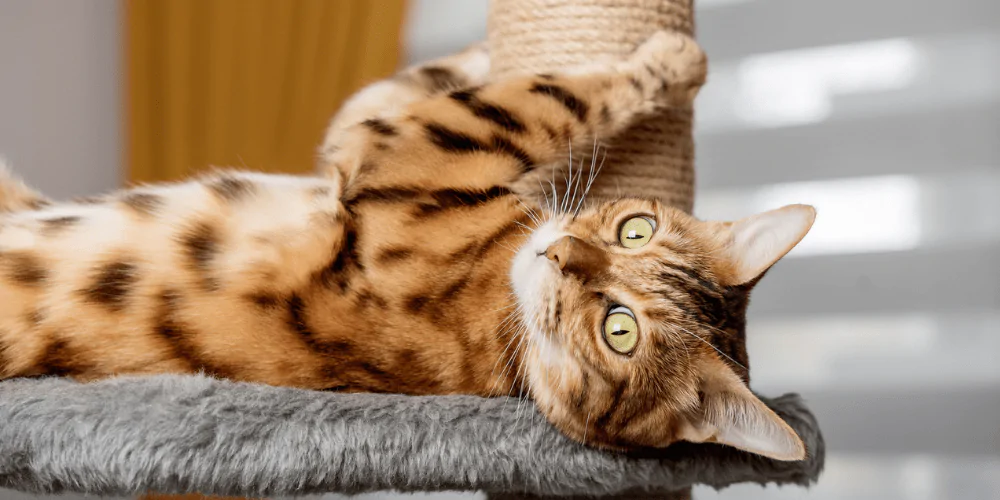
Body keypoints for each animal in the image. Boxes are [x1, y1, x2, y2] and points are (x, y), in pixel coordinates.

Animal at [0, 32, 812, 460]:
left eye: (621, 330)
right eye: (632, 229)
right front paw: (483, 47)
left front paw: (674, 58)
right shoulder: (361, 142)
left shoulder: (409, 150)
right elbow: (426, 81)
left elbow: (553, 96)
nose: (560, 254)